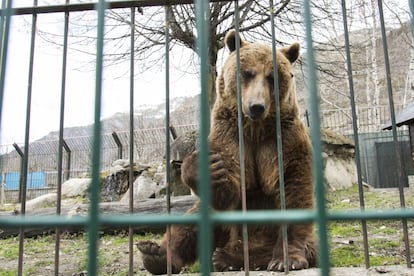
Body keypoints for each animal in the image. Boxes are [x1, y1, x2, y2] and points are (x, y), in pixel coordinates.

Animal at [137, 29, 316, 274]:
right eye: (248, 73)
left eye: (272, 77)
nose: (256, 106)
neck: (255, 129)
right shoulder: (229, 136)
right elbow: (229, 189)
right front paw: (205, 168)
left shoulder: (286, 140)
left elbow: (293, 189)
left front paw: (286, 259)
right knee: (193, 220)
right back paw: (156, 254)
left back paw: (230, 258)